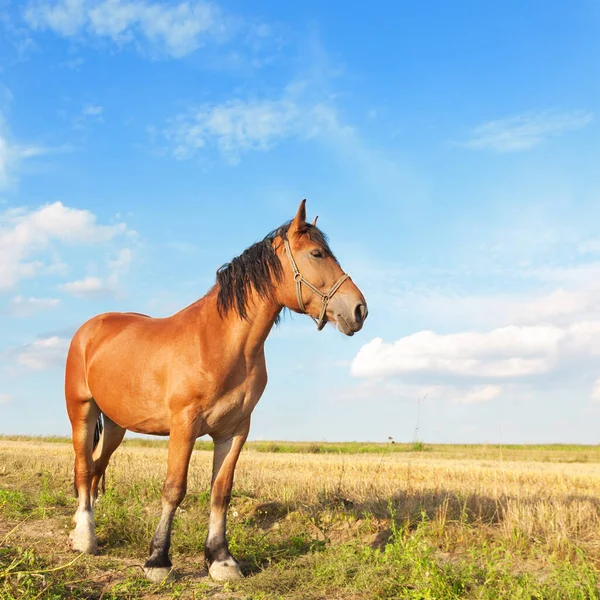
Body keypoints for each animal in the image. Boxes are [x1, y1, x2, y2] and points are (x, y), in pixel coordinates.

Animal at [64, 200, 366, 580]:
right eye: (317, 253)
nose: (359, 310)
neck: (220, 342)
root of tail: (90, 329)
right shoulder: (184, 426)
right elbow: (174, 488)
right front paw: (158, 560)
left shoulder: (234, 430)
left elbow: (221, 491)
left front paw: (221, 560)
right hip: (82, 411)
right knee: (83, 467)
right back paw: (84, 538)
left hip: (117, 425)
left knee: (96, 469)